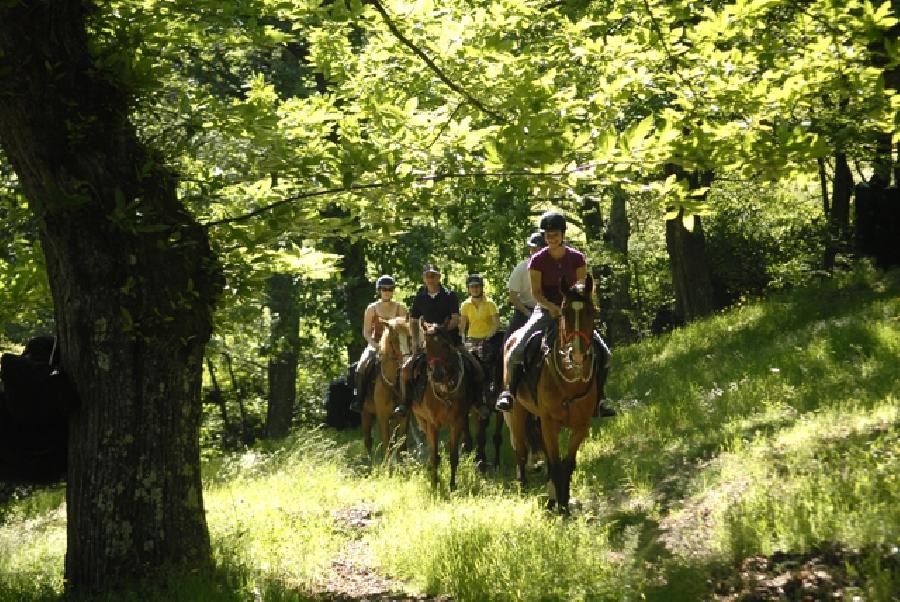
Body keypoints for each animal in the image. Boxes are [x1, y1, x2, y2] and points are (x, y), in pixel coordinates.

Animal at [362, 316, 412, 458]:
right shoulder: (382, 417)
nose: (407, 363)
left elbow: (401, 445)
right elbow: (387, 446)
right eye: (394, 339)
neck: (392, 383)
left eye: (409, 336)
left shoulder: (404, 417)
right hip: (365, 413)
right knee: (367, 440)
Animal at [412, 318, 474, 488]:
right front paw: (434, 484)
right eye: (426, 346)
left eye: (445, 345)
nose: (437, 375)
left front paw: (452, 485)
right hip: (421, 420)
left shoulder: (456, 422)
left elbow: (453, 456)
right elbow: (434, 455)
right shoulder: (433, 424)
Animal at [502, 274, 608, 508]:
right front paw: (560, 506)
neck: (570, 382)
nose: (575, 355)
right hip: (516, 412)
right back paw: (523, 487)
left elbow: (566, 464)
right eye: (564, 312)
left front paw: (563, 503)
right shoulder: (550, 423)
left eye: (592, 312)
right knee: (520, 451)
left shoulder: (581, 426)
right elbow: (555, 463)